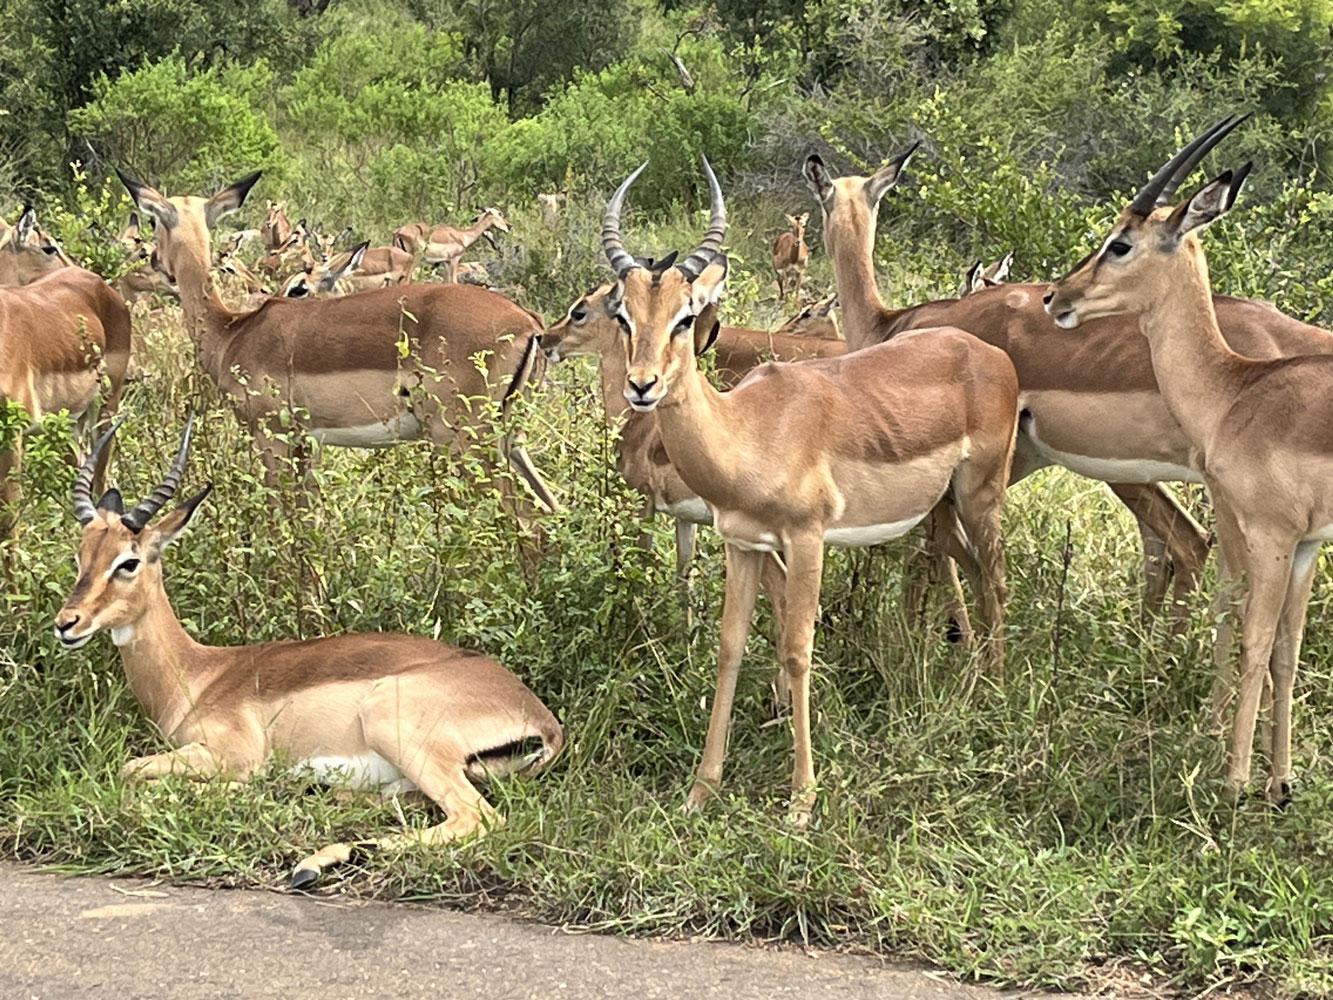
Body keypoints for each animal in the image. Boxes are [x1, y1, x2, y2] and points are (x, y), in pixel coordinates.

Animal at [55, 421, 563, 887]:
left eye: (128, 561)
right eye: (80, 556)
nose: (67, 623)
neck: (198, 676)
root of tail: (542, 721)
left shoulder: (229, 753)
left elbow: (132, 771)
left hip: (395, 727)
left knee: (477, 818)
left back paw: (309, 861)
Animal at [114, 168, 558, 515]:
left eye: (154, 223)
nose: (156, 264)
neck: (232, 330)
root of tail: (529, 323)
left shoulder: (271, 438)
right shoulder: (307, 444)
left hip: (464, 439)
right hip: (509, 441)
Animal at [599, 158, 1018, 824]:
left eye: (685, 316)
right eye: (624, 314)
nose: (643, 386)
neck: (748, 430)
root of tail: (986, 351)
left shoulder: (806, 539)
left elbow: (797, 648)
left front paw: (801, 800)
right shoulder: (742, 545)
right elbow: (730, 647)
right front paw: (701, 789)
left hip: (982, 494)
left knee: (997, 579)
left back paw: (996, 697)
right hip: (943, 509)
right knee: (977, 577)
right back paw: (974, 686)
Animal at [1043, 115, 1333, 804]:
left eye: (1120, 243)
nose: (1056, 296)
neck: (1236, 389)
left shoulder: (1271, 534)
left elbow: (1255, 640)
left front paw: (1233, 784)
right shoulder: (1308, 543)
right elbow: (1287, 649)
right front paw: (1280, 783)